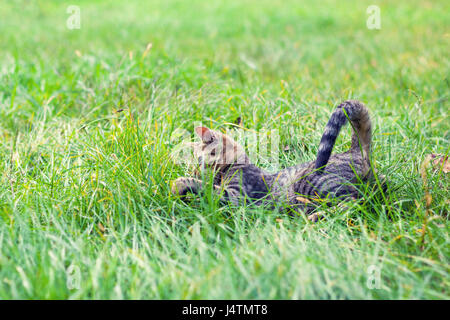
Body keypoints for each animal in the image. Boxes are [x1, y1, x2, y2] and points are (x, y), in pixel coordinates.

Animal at [171, 100, 372, 220]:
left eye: (198, 161)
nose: (195, 171)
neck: (239, 164)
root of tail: (354, 150)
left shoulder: (238, 196)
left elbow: (207, 188)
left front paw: (179, 184)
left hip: (316, 184)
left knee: (352, 203)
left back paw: (317, 216)